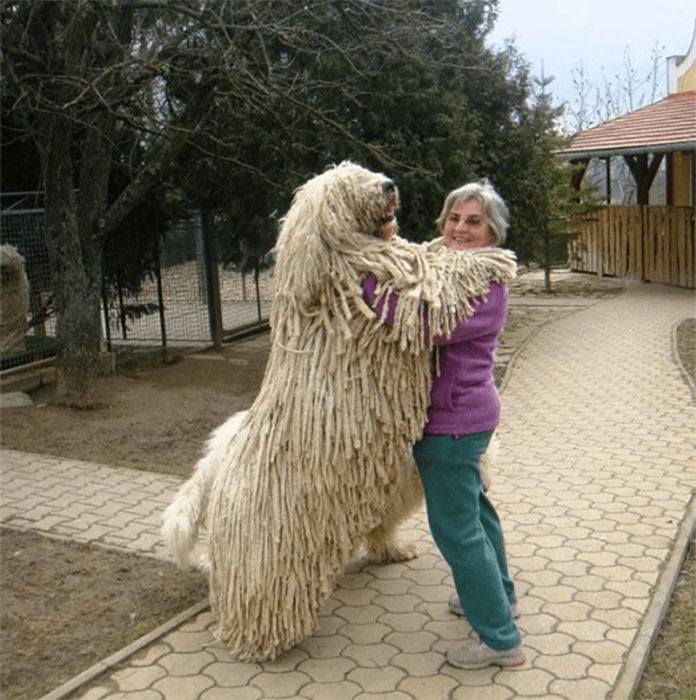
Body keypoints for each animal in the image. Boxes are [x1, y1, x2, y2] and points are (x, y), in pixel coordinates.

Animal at [160, 163, 512, 660]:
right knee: (254, 593)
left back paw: (391, 551)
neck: (335, 266)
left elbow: (427, 254)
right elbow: (438, 281)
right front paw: (491, 258)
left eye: (365, 170)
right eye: (349, 187)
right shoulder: (393, 293)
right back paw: (262, 640)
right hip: (270, 550)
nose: (388, 185)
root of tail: (216, 465)